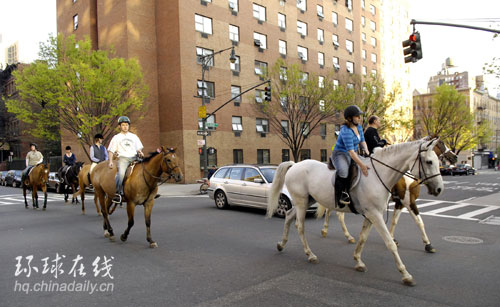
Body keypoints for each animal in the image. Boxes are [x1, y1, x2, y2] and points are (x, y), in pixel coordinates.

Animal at [316, 138, 458, 254]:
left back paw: (331, 232)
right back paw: (338, 233)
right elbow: (419, 222)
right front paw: (428, 244)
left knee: (331, 210)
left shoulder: (400, 203)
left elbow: (394, 221)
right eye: (429, 162)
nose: (455, 157)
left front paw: (393, 238)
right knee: (337, 214)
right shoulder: (409, 201)